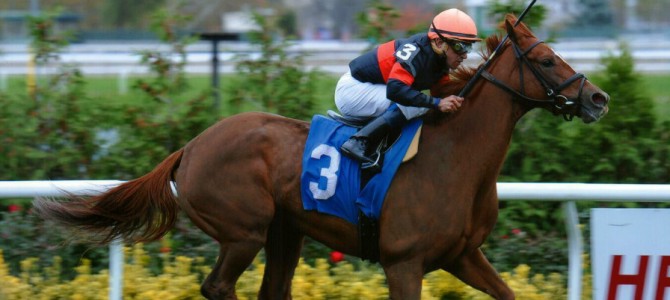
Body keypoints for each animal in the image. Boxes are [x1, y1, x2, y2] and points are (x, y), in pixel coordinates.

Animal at [34, 15, 608, 298]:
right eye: (545, 59)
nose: (598, 98)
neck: (456, 160)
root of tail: (191, 147)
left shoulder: (463, 255)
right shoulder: (404, 263)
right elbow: (402, 92)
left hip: (284, 232)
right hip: (243, 231)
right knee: (218, 287)